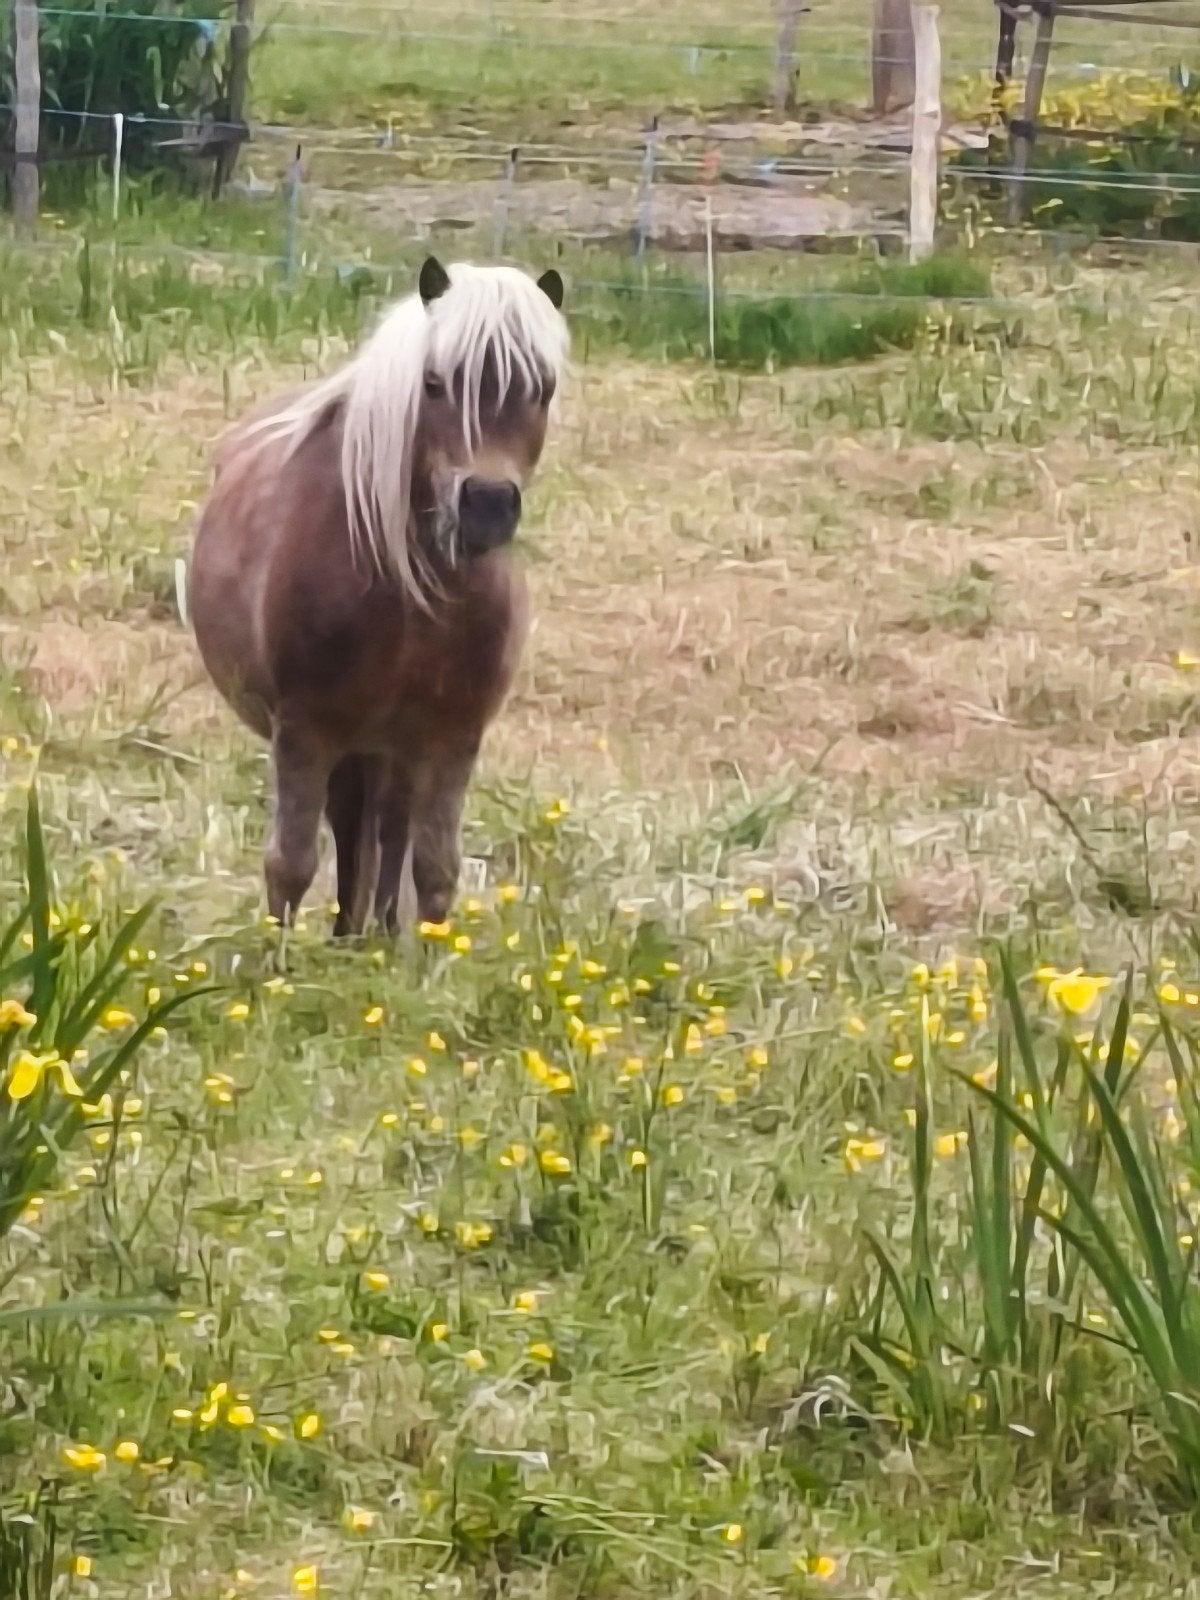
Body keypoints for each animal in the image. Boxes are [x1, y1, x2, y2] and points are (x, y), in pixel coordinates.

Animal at [189, 256, 568, 936]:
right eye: (435, 383)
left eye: (544, 388)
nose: (488, 506)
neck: (415, 597)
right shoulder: (307, 732)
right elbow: (290, 865)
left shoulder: (452, 737)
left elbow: (435, 869)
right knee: (354, 834)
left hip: (392, 749)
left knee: (385, 834)